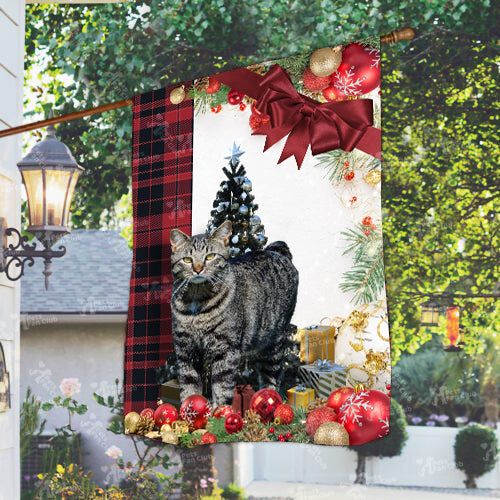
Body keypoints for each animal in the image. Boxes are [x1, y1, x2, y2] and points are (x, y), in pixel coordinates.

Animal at [170, 222, 298, 406]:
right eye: (187, 259)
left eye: (210, 256)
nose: (198, 269)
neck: (197, 302)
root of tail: (274, 250)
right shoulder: (186, 351)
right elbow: (189, 390)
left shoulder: (226, 350)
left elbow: (221, 390)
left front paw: (219, 411)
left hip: (273, 344)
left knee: (273, 378)